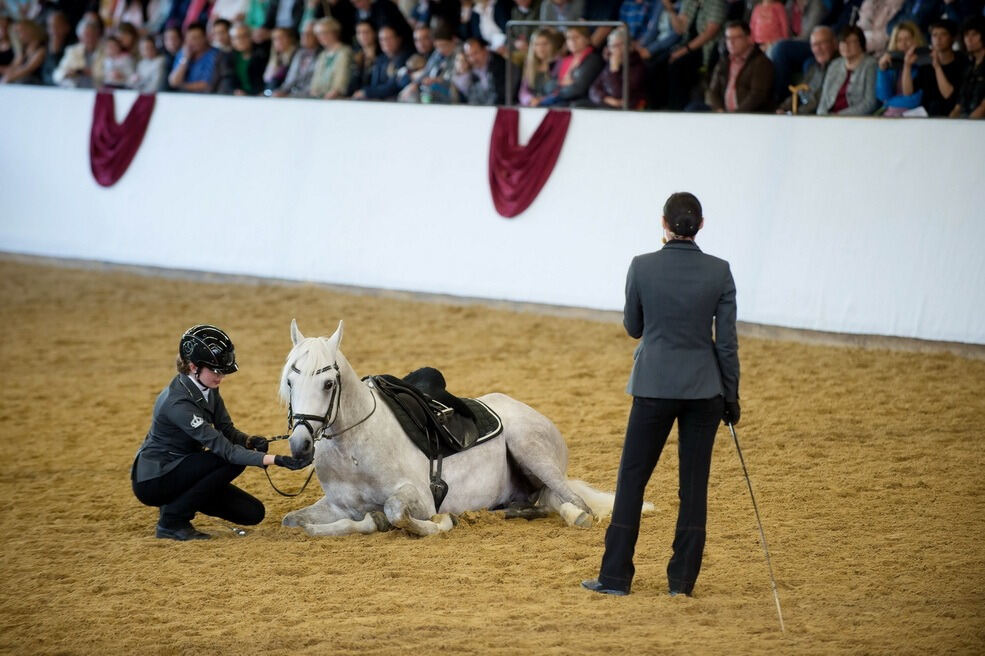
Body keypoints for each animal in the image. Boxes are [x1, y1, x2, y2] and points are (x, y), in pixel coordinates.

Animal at [278, 320, 644, 540]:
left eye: (328, 383)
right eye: (290, 382)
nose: (300, 444)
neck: (354, 448)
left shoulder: (421, 498)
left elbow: (396, 513)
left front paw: (442, 523)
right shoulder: (339, 506)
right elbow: (296, 521)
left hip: (532, 451)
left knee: (573, 500)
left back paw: (575, 515)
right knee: (542, 502)